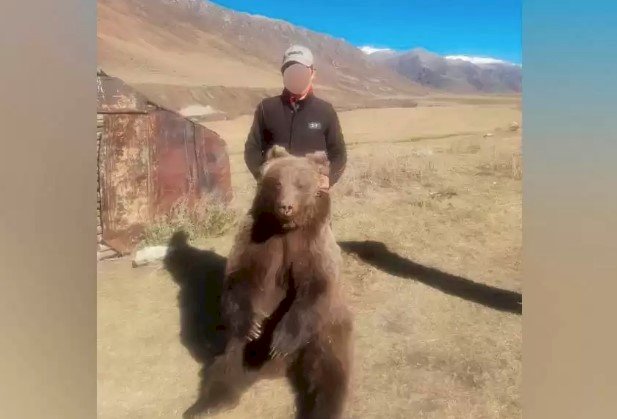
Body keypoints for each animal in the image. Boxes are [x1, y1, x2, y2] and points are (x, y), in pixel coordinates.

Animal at [184, 147, 352, 419]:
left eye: (301, 183)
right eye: (277, 183)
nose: (286, 206)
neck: (286, 228)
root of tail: (283, 367)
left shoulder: (311, 246)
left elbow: (315, 285)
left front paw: (282, 340)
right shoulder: (260, 239)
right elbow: (240, 277)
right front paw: (251, 325)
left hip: (324, 332)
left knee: (329, 371)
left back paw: (322, 408)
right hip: (246, 347)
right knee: (228, 362)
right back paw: (206, 405)